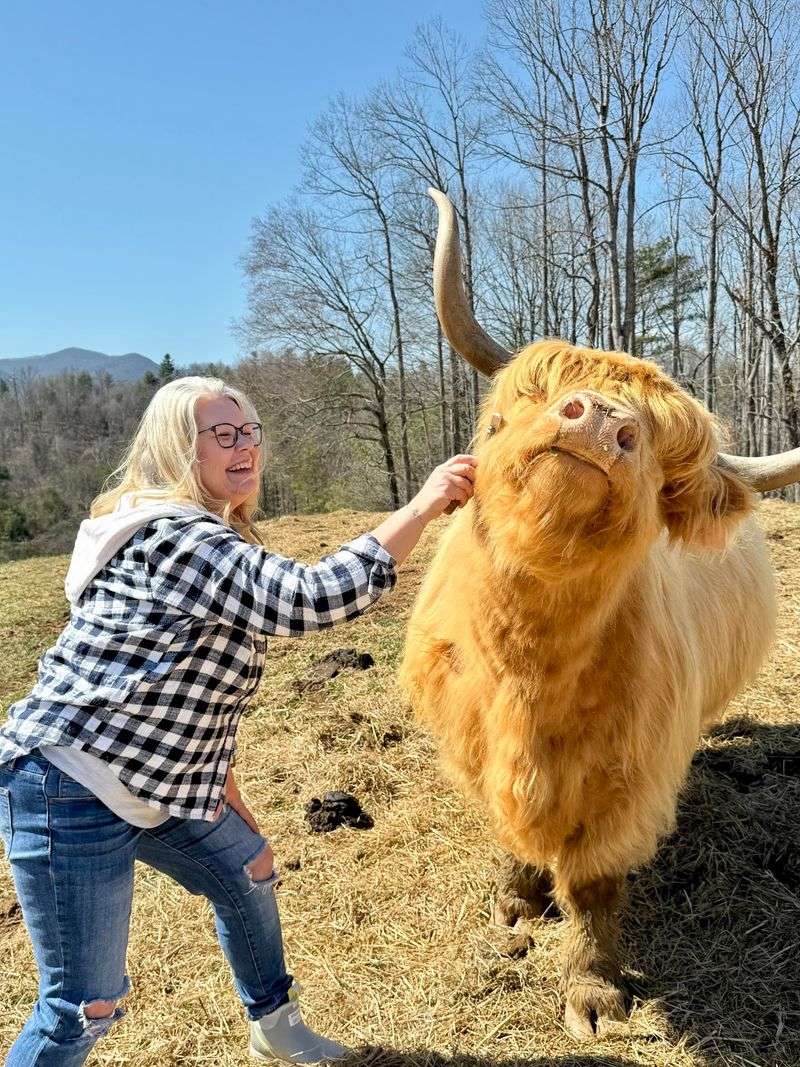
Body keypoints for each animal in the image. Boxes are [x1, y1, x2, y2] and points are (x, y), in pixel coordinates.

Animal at [398, 189, 800, 1040]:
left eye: (663, 460)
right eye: (517, 408)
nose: (598, 422)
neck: (528, 664)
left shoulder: (629, 781)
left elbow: (593, 886)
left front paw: (592, 989)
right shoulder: (472, 747)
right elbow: (510, 836)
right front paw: (517, 901)